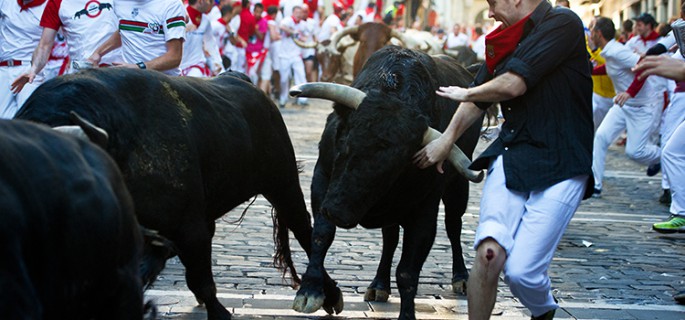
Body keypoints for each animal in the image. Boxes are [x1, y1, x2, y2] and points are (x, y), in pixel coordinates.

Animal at [288, 46, 480, 318]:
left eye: (396, 165)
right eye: (345, 142)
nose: (337, 212)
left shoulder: (425, 209)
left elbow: (408, 270)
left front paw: (407, 314)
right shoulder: (322, 179)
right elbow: (321, 235)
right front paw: (310, 292)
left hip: (457, 188)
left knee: (453, 226)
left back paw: (461, 277)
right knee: (390, 239)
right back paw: (379, 285)